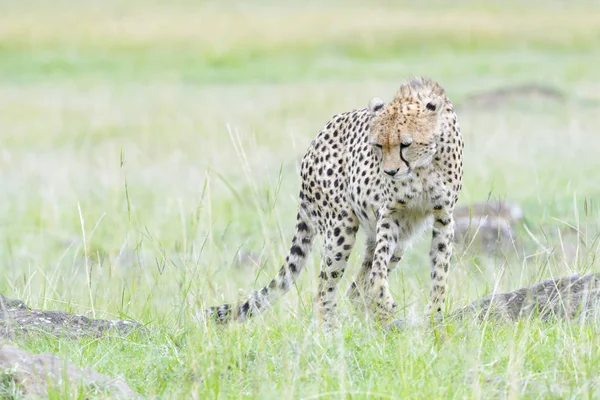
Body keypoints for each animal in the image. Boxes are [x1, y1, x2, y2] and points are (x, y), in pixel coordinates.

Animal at [206, 77, 464, 328]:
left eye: (406, 144)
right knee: (325, 289)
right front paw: (387, 300)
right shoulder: (389, 215)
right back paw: (331, 332)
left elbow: (440, 270)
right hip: (341, 228)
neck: (423, 167)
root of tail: (315, 140)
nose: (390, 172)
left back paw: (377, 326)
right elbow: (379, 269)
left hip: (399, 239)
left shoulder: (443, 216)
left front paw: (435, 316)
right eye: (378, 145)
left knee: (355, 290)